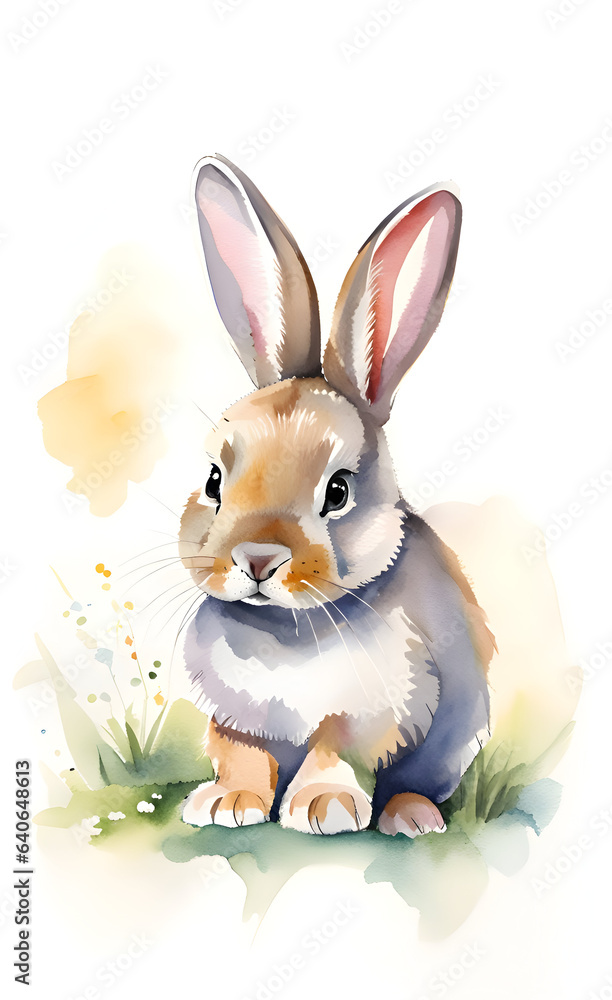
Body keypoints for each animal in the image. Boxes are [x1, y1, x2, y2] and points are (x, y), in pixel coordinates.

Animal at [179, 154, 495, 837]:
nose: (258, 560)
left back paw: (410, 818)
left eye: (339, 491)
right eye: (214, 481)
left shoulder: (375, 714)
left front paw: (323, 808)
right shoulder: (234, 718)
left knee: (415, 783)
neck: (285, 628)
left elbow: (334, 751)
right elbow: (242, 755)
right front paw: (227, 804)